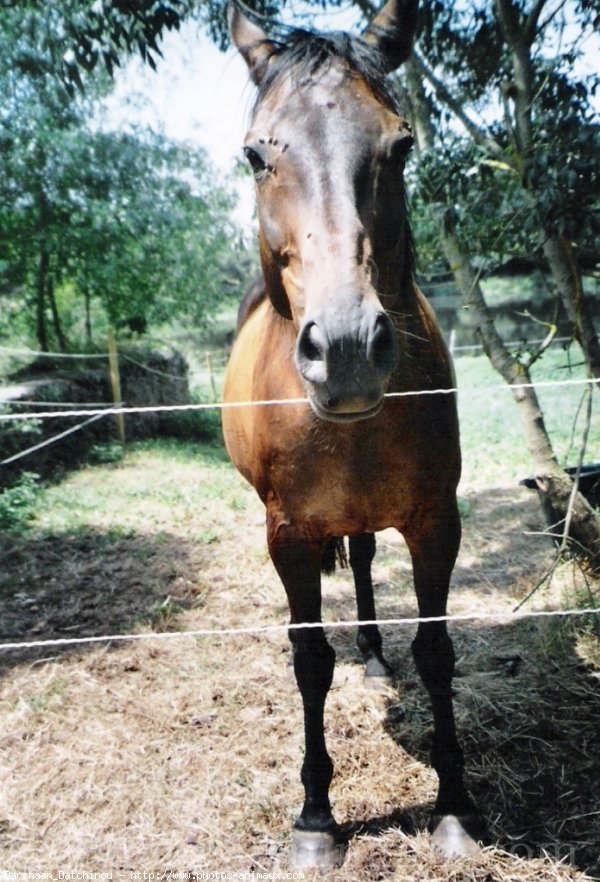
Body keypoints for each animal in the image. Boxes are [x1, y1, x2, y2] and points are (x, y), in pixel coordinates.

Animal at [223, 0, 486, 868]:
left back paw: (372, 658)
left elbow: (436, 653)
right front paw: (315, 819)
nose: (343, 349)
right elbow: (308, 662)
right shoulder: (290, 534)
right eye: (257, 156)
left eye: (399, 146)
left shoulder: (437, 520)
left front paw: (455, 804)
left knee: (368, 561)